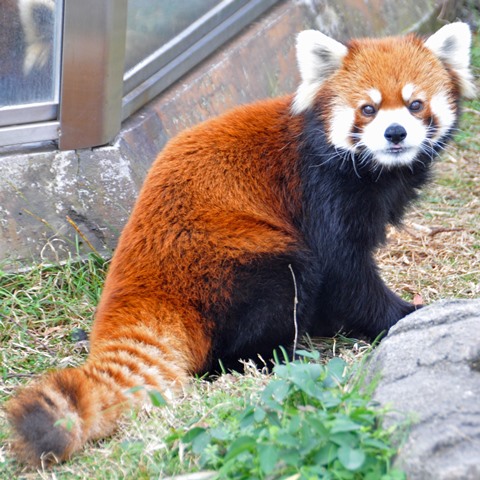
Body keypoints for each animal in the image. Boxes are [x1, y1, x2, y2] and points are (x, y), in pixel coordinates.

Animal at [3, 21, 476, 464]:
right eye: (368, 108)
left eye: (415, 104)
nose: (395, 133)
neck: (376, 171)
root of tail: (142, 281)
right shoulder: (320, 191)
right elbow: (345, 273)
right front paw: (403, 314)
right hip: (235, 259)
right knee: (285, 284)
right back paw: (273, 355)